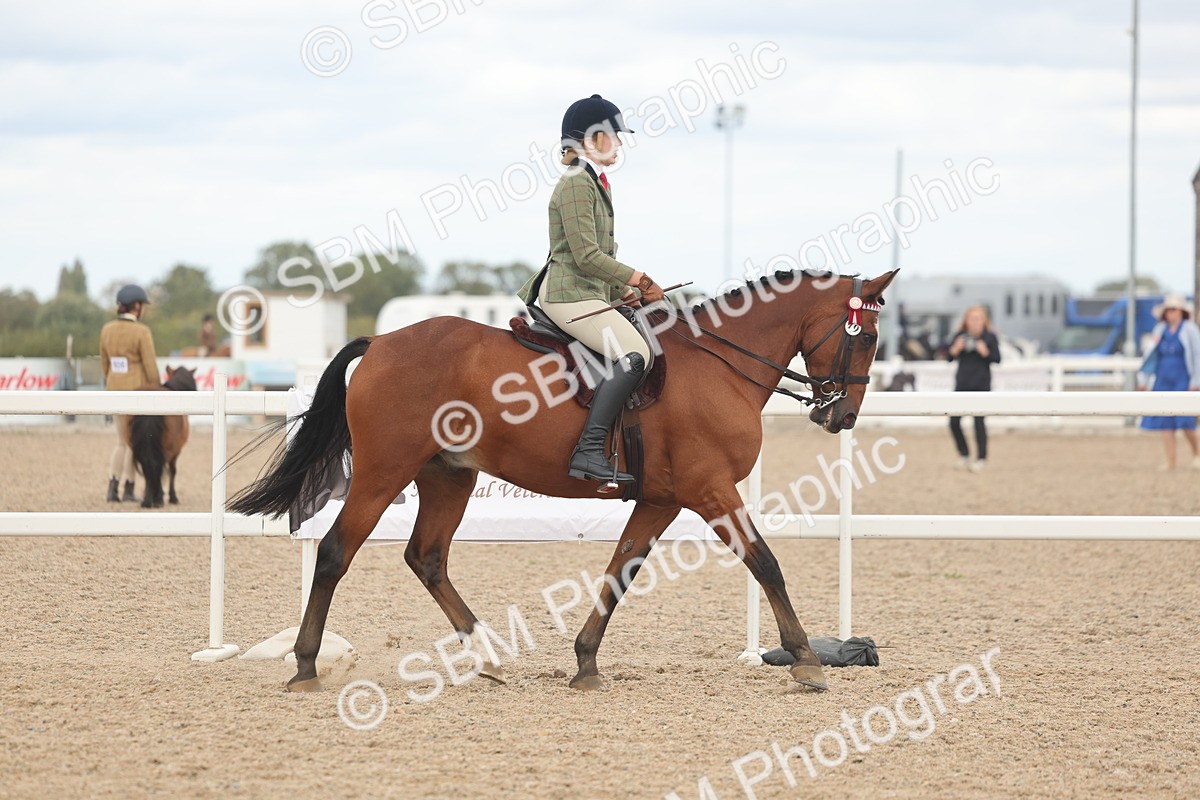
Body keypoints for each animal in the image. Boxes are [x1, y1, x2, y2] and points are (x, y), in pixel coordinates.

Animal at [129, 366, 196, 508]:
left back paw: (148, 499)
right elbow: (172, 470)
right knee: (158, 465)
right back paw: (157, 498)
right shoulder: (176, 450)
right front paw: (172, 497)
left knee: (147, 465)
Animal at [230, 268, 897, 693]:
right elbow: (766, 562)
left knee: (427, 558)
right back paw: (306, 667)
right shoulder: (711, 492)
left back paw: (489, 657)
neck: (720, 366)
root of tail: (383, 341)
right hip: (382, 473)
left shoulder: (660, 500)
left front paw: (585, 662)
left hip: (448, 476)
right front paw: (807, 659)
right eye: (864, 337)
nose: (841, 416)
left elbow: (620, 571)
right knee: (334, 553)